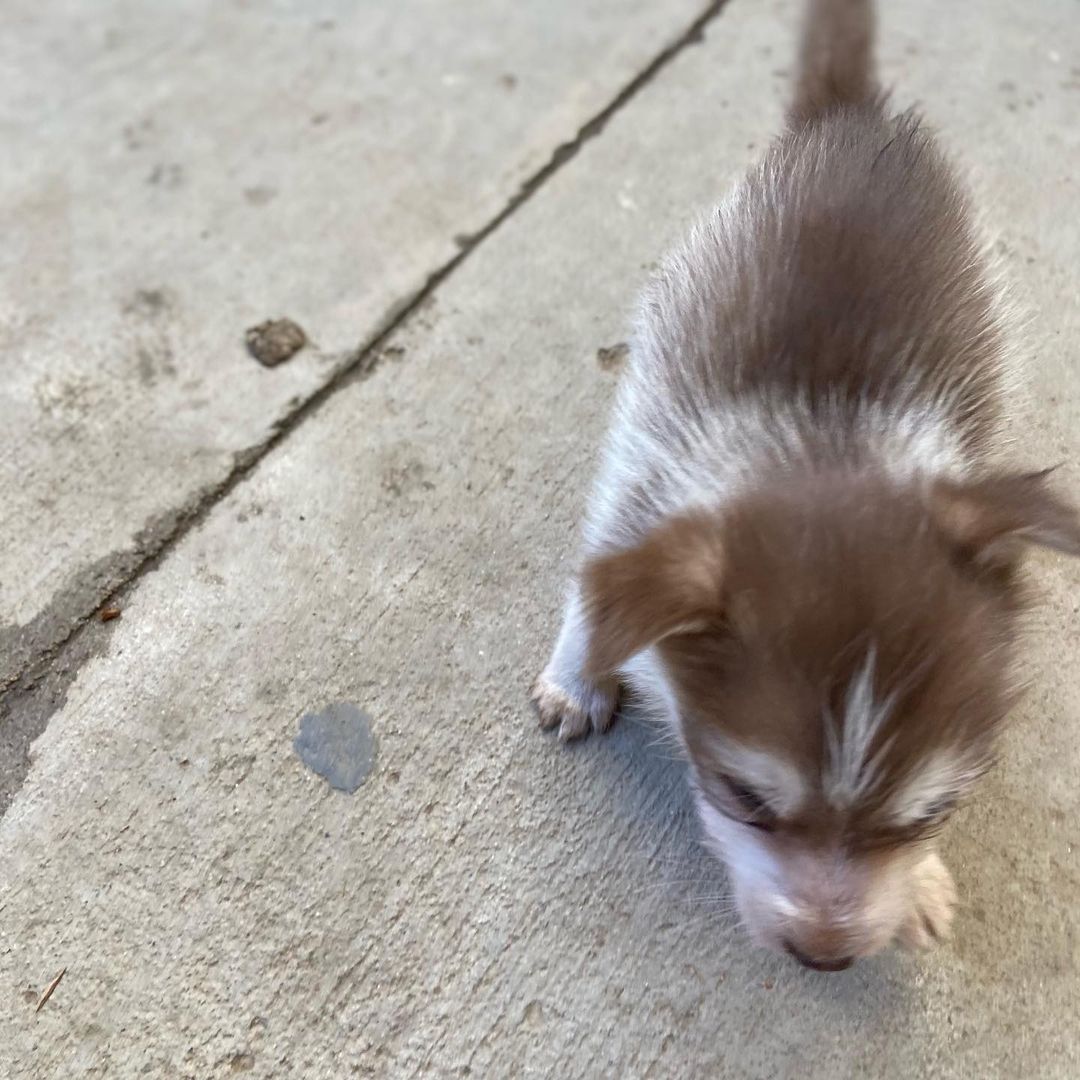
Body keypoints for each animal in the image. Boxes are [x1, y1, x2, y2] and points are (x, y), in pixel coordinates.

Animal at [531, 0, 1080, 972]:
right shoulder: (645, 477)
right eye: (745, 797)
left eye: (933, 812)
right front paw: (578, 674)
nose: (825, 956)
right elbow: (596, 585)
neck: (827, 447)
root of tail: (851, 118)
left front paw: (918, 884)